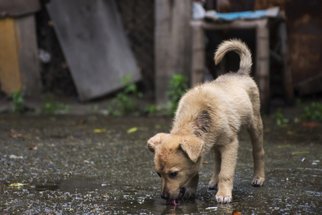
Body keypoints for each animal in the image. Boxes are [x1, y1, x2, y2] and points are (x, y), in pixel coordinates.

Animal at [147, 39, 266, 204]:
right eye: (158, 174)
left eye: (173, 174)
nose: (164, 197)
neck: (193, 120)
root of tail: (241, 73)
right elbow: (197, 170)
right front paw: (191, 190)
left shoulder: (230, 144)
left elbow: (225, 172)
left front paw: (224, 194)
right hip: (216, 141)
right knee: (217, 160)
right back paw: (214, 181)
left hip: (254, 123)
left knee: (258, 151)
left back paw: (258, 177)